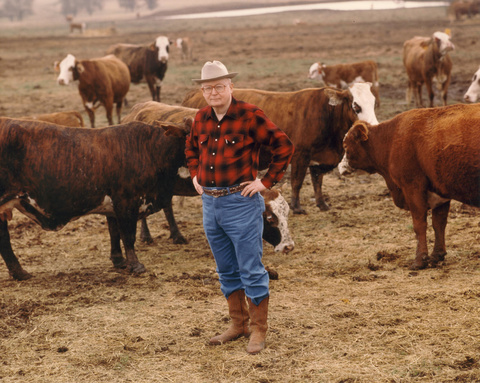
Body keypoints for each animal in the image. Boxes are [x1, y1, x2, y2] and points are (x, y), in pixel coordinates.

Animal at [0, 117, 191, 282]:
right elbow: (128, 236)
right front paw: (136, 265)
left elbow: (114, 232)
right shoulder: (127, 202)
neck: (150, 149)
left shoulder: (114, 207)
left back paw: (20, 273)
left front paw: (119, 261)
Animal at [181, 83, 378, 214]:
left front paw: (322, 204)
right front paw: (297, 207)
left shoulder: (318, 157)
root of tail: (193, 93)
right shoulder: (300, 155)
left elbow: (317, 181)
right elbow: (297, 181)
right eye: (356, 106)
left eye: (374, 103)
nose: (373, 126)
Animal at [340, 103, 480, 272]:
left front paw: (419, 260)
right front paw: (437, 255)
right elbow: (438, 224)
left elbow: (419, 225)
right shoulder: (439, 192)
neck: (391, 139)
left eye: (345, 145)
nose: (340, 167)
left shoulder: (412, 186)